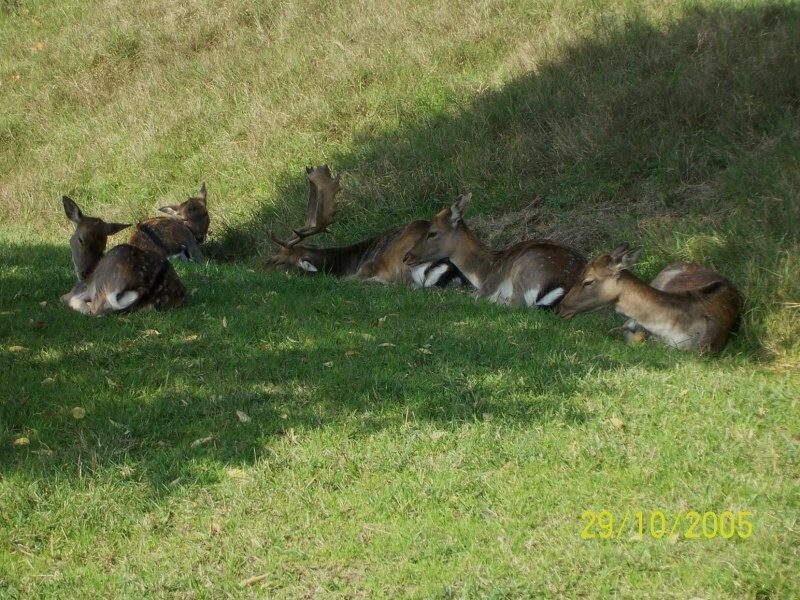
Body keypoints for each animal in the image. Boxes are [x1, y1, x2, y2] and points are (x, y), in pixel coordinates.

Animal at [404, 193, 584, 308]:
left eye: (432, 233)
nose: (406, 257)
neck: (483, 271)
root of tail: (566, 282)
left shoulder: (488, 286)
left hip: (524, 272)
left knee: (516, 305)